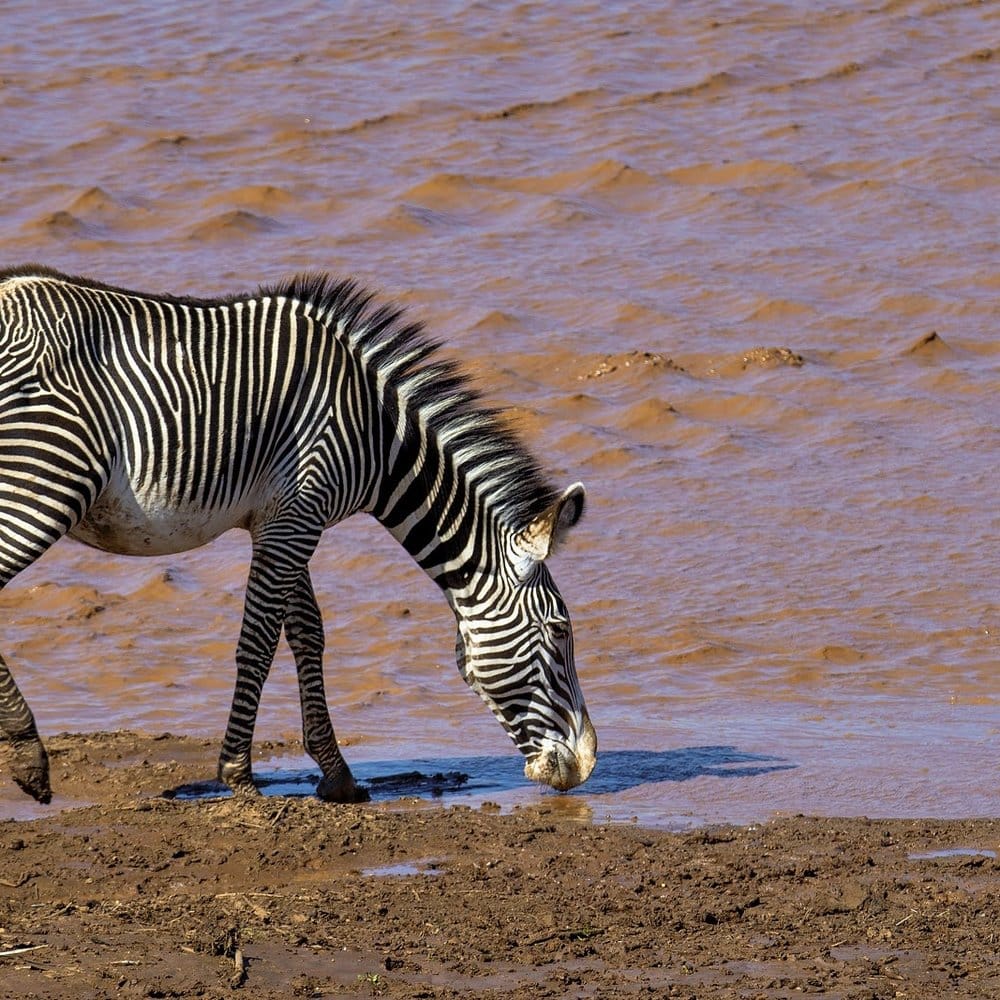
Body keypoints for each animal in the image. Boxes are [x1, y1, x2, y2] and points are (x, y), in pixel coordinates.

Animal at [0, 266, 596, 805]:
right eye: (560, 631)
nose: (586, 763)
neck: (376, 433)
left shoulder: (285, 518)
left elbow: (308, 633)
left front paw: (337, 775)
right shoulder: (297, 514)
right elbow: (260, 642)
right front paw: (238, 774)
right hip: (47, 481)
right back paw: (28, 755)